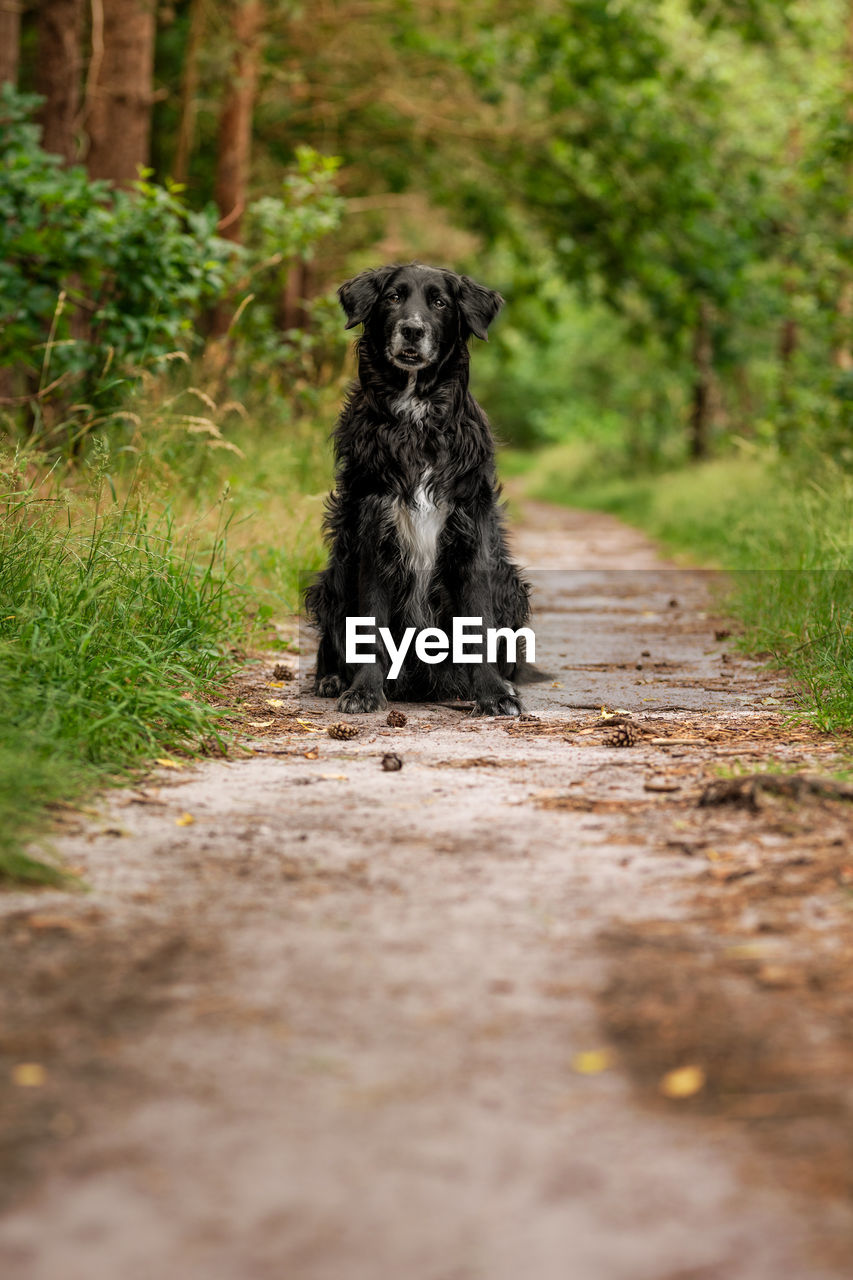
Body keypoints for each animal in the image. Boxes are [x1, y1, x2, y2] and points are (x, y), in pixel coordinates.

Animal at [306, 261, 527, 716]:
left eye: (439, 302)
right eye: (393, 297)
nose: (412, 329)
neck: (416, 419)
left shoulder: (470, 537)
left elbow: (478, 625)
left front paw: (493, 694)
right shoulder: (373, 535)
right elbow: (369, 627)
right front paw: (364, 691)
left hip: (511, 585)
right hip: (333, 578)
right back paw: (332, 678)